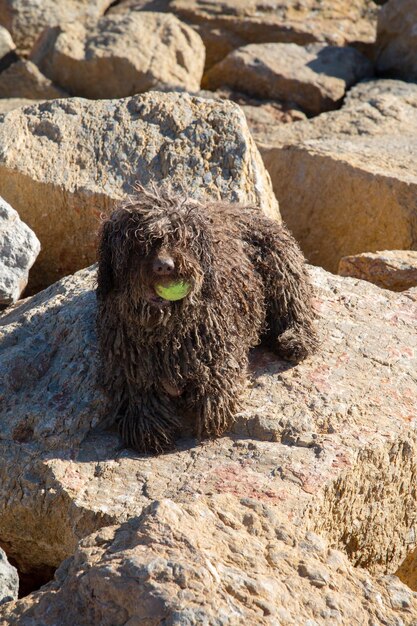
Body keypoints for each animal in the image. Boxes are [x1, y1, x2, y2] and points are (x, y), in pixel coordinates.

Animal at [96, 183, 316, 450]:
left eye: (181, 238)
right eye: (139, 241)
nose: (164, 266)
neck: (165, 329)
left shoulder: (218, 346)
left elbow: (217, 378)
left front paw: (213, 408)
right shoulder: (128, 362)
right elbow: (138, 391)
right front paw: (148, 426)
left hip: (282, 266)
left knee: (296, 305)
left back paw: (296, 339)